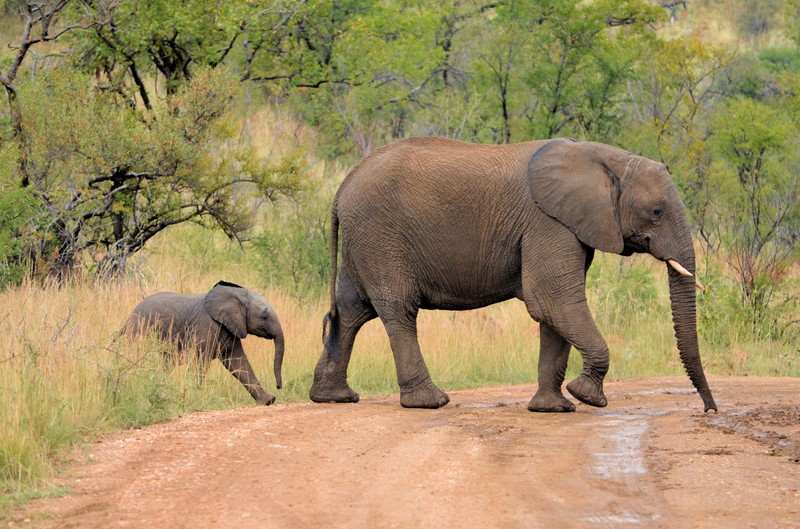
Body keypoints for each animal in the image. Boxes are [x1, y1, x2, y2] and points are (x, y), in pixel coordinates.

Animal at [125, 280, 284, 404]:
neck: (235, 296)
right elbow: (200, 360)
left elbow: (238, 363)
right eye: (264, 316)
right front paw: (195, 395)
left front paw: (268, 401)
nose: (279, 387)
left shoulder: (231, 328)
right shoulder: (206, 326)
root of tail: (130, 316)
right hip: (139, 330)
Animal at [308, 136, 720, 412]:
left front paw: (553, 408)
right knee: (398, 310)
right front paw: (586, 396)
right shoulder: (548, 223)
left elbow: (554, 312)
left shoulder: (568, 226)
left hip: (365, 240)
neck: (608, 158)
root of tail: (342, 187)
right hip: (381, 236)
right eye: (656, 212)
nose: (709, 410)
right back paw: (430, 402)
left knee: (352, 311)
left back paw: (333, 398)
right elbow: (552, 301)